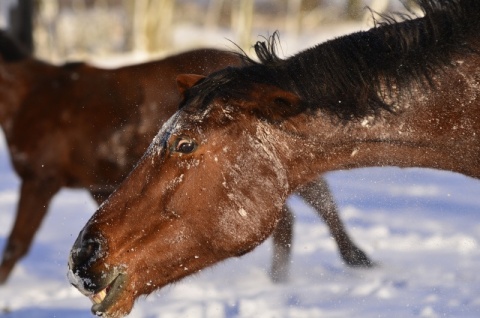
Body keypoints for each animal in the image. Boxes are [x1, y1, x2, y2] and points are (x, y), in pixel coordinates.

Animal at [0, 30, 372, 284]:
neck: (31, 98)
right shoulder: (101, 186)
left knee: (318, 202)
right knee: (296, 215)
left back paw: (350, 260)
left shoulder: (40, 180)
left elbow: (16, 245)